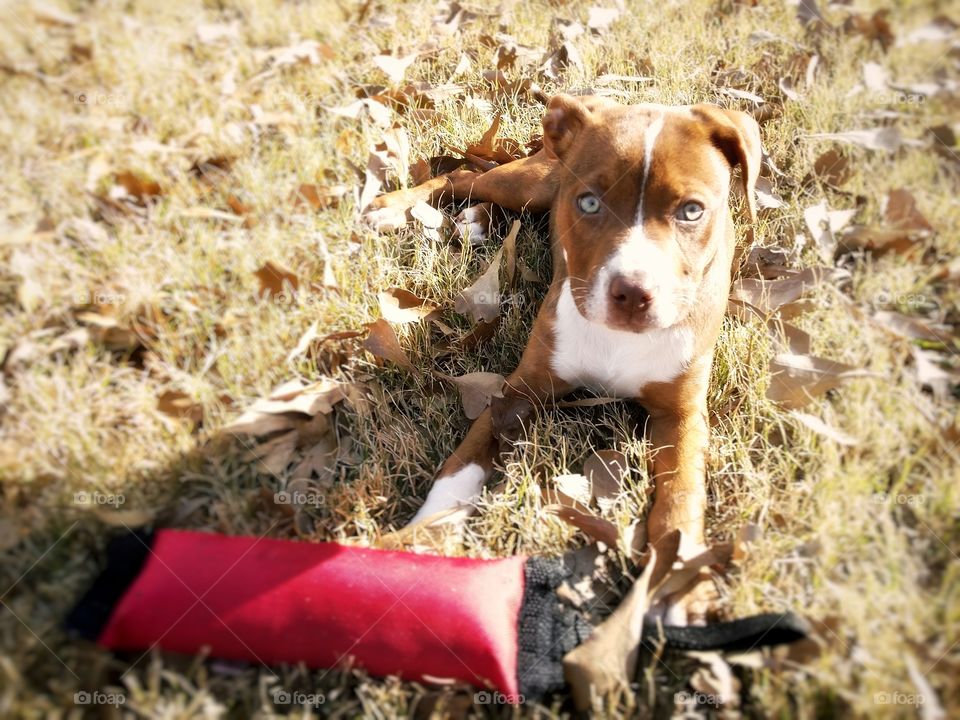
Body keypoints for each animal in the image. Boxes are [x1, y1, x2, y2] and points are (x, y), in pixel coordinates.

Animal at [364, 95, 760, 620]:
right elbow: (463, 463)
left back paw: (475, 221)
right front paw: (424, 538)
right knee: (462, 177)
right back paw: (394, 208)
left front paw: (679, 583)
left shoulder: (682, 414)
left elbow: (682, 495)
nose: (632, 293)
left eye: (692, 211)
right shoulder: (518, 391)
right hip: (528, 184)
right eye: (589, 202)